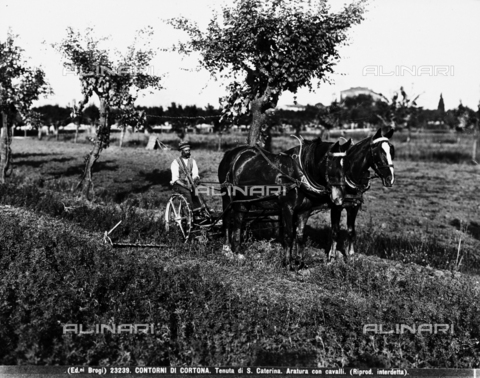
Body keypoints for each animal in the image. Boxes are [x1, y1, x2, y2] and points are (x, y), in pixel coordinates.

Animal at [219, 136, 350, 268]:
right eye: (332, 164)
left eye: (346, 165)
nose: (339, 198)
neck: (299, 174)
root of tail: (231, 153)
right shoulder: (287, 208)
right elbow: (288, 235)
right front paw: (287, 263)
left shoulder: (305, 210)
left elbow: (300, 235)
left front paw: (300, 263)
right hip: (227, 196)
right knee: (227, 220)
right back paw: (227, 250)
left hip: (244, 200)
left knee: (238, 221)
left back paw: (238, 252)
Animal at [328, 128, 396, 262]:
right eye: (378, 151)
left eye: (391, 150)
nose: (390, 179)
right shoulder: (336, 207)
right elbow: (335, 231)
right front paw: (332, 257)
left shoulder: (353, 207)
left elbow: (351, 231)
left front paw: (351, 256)